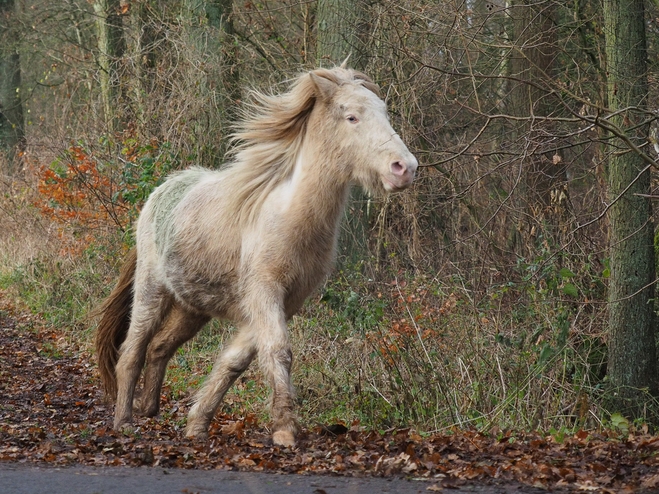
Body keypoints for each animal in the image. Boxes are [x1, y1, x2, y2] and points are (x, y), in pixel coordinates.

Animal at [94, 63, 418, 446]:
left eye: (384, 112)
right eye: (352, 116)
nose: (405, 168)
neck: (290, 217)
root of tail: (160, 192)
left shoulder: (282, 302)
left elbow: (235, 361)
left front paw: (197, 424)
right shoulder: (264, 292)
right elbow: (278, 350)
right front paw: (285, 430)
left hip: (192, 307)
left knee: (160, 347)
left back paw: (149, 409)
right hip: (151, 291)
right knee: (132, 352)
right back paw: (124, 421)